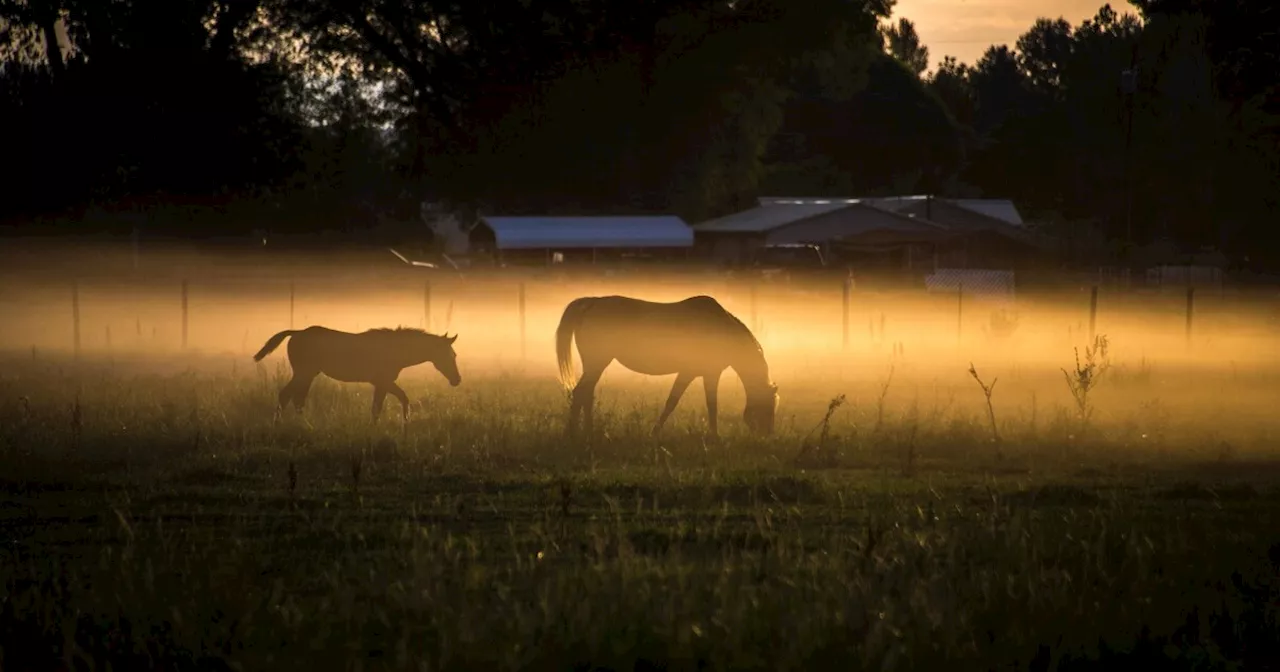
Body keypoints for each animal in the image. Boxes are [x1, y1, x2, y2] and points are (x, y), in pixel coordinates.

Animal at [249, 325, 460, 419]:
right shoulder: (383, 381)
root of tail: (297, 332)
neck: (395, 349)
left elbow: (379, 407)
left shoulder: (381, 384)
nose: (457, 379)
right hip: (304, 372)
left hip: (307, 374)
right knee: (287, 395)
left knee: (296, 398)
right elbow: (398, 401)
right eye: (450, 355)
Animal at [552, 293, 773, 435]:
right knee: (580, 393)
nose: (767, 433)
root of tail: (592, 304)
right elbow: (705, 405)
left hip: (594, 365)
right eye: (768, 406)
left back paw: (586, 431)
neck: (720, 328)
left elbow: (673, 402)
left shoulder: (692, 373)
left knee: (586, 394)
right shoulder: (705, 374)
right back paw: (574, 432)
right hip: (597, 363)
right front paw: (714, 438)